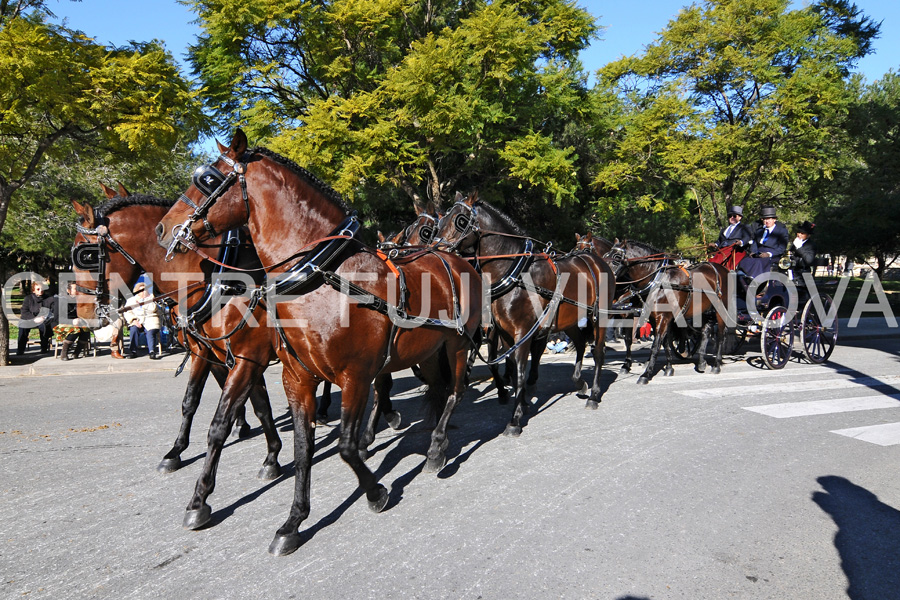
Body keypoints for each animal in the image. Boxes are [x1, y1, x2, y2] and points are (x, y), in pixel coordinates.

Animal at [71, 190, 284, 494]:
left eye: (84, 254)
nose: (83, 315)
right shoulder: (206, 351)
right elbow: (192, 401)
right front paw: (176, 451)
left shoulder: (250, 355)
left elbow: (256, 404)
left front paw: (271, 454)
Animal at [153, 129, 486, 556]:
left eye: (208, 180)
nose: (163, 229)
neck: (319, 278)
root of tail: (456, 260)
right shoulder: (295, 377)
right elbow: (300, 446)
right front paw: (293, 521)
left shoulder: (352, 375)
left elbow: (344, 446)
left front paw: (376, 492)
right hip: (426, 350)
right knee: (440, 387)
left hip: (458, 345)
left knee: (455, 391)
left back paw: (437, 447)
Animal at [432, 192, 616, 432]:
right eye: (441, 221)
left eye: (460, 220)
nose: (437, 250)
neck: (515, 273)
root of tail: (596, 260)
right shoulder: (505, 334)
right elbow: (511, 365)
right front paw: (522, 403)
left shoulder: (523, 332)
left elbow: (519, 370)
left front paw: (515, 419)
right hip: (570, 320)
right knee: (581, 343)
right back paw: (580, 382)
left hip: (599, 317)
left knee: (598, 352)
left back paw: (594, 394)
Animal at [604, 238, 740, 382]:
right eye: (606, 255)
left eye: (617, 257)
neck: (659, 280)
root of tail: (722, 269)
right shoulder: (655, 317)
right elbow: (664, 342)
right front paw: (668, 368)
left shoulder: (662, 317)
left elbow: (656, 345)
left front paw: (646, 374)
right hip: (703, 311)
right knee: (705, 332)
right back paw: (701, 362)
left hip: (721, 309)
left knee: (720, 335)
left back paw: (716, 365)